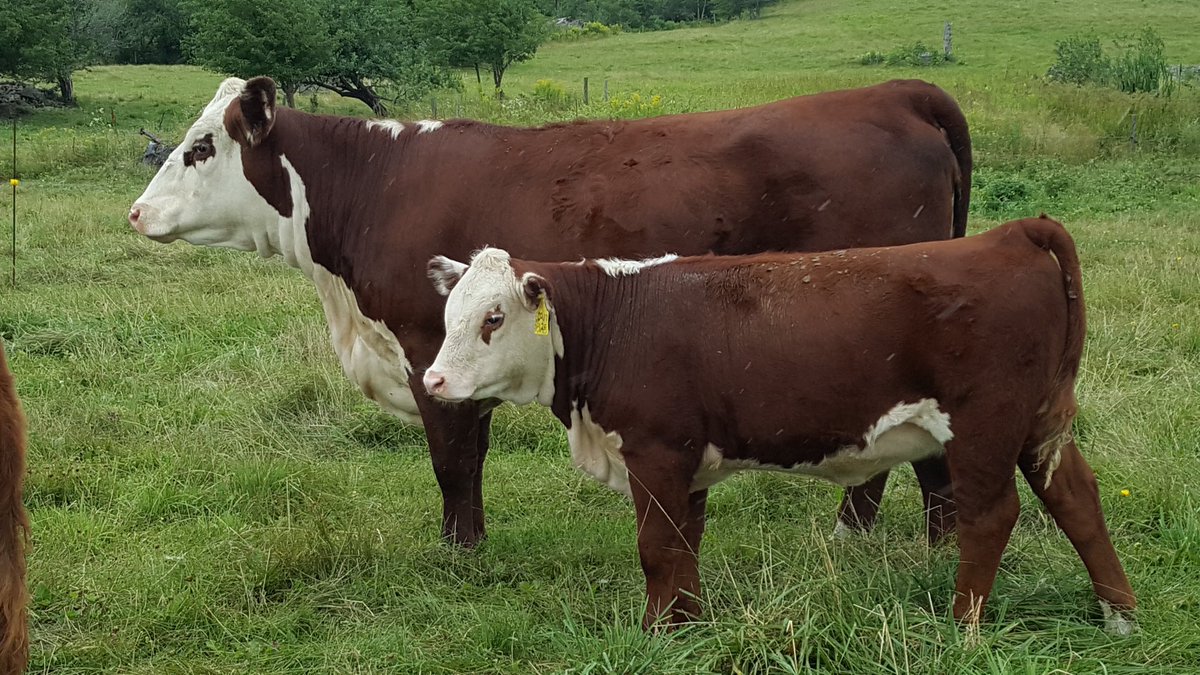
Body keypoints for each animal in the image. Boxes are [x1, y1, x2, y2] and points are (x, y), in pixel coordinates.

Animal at [128, 76, 972, 548]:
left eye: (201, 147)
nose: (136, 212)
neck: (377, 183)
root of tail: (895, 91)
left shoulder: (427, 343)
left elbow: (452, 458)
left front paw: (460, 551)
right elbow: (468, 453)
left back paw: (881, 538)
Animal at [422, 216, 1136, 634]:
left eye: (493, 318)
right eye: (450, 314)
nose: (433, 382)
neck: (617, 320)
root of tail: (1011, 233)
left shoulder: (656, 452)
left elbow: (656, 547)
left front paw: (657, 632)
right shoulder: (688, 462)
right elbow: (683, 544)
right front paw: (689, 625)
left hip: (984, 426)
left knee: (989, 515)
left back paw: (963, 624)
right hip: (1039, 421)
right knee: (1076, 496)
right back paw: (1119, 612)